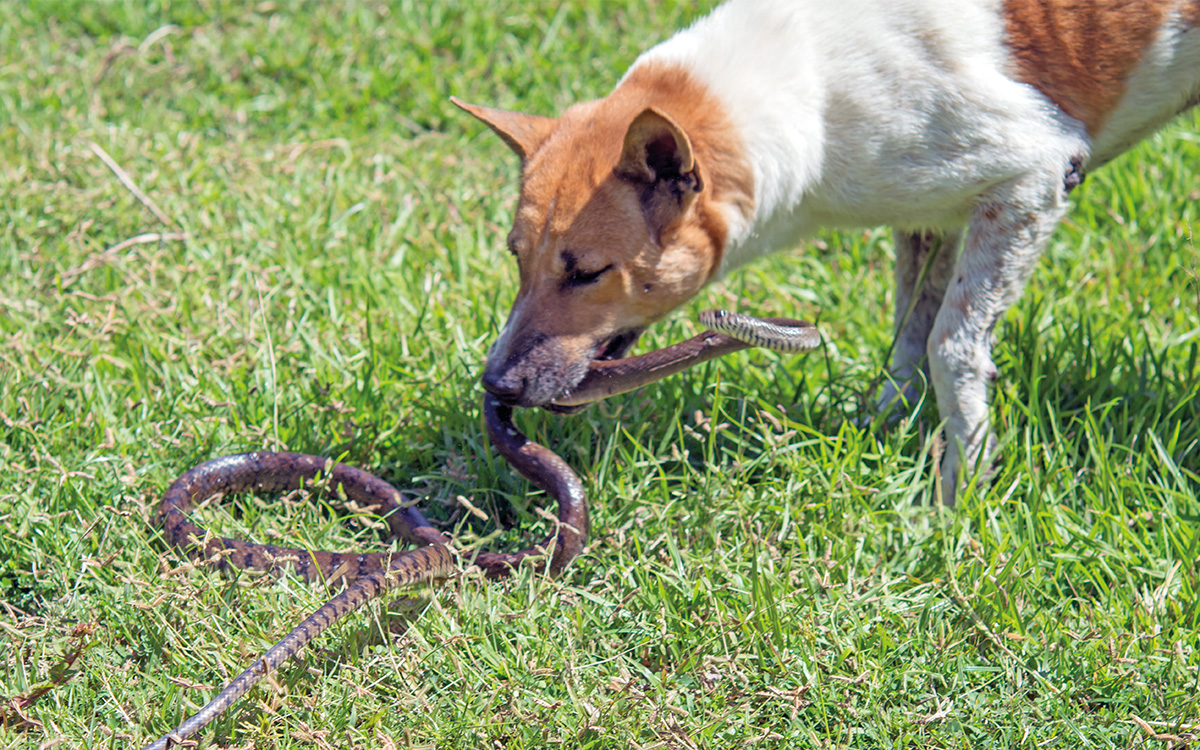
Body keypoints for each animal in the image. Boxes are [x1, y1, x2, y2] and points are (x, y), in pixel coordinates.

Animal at [451, 1, 1200, 504]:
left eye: (587, 273)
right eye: (515, 257)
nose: (497, 387)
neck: (810, 89)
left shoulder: (1033, 177)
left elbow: (950, 345)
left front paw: (959, 495)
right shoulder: (927, 213)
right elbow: (908, 335)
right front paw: (881, 428)